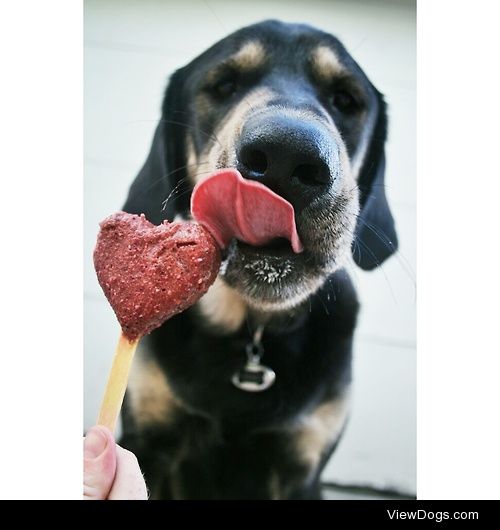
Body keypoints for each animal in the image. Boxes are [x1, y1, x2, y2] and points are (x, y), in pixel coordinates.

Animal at [119, 19, 396, 500]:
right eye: (224, 85)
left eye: (345, 100)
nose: (288, 154)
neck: (250, 333)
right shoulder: (148, 438)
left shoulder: (301, 466)